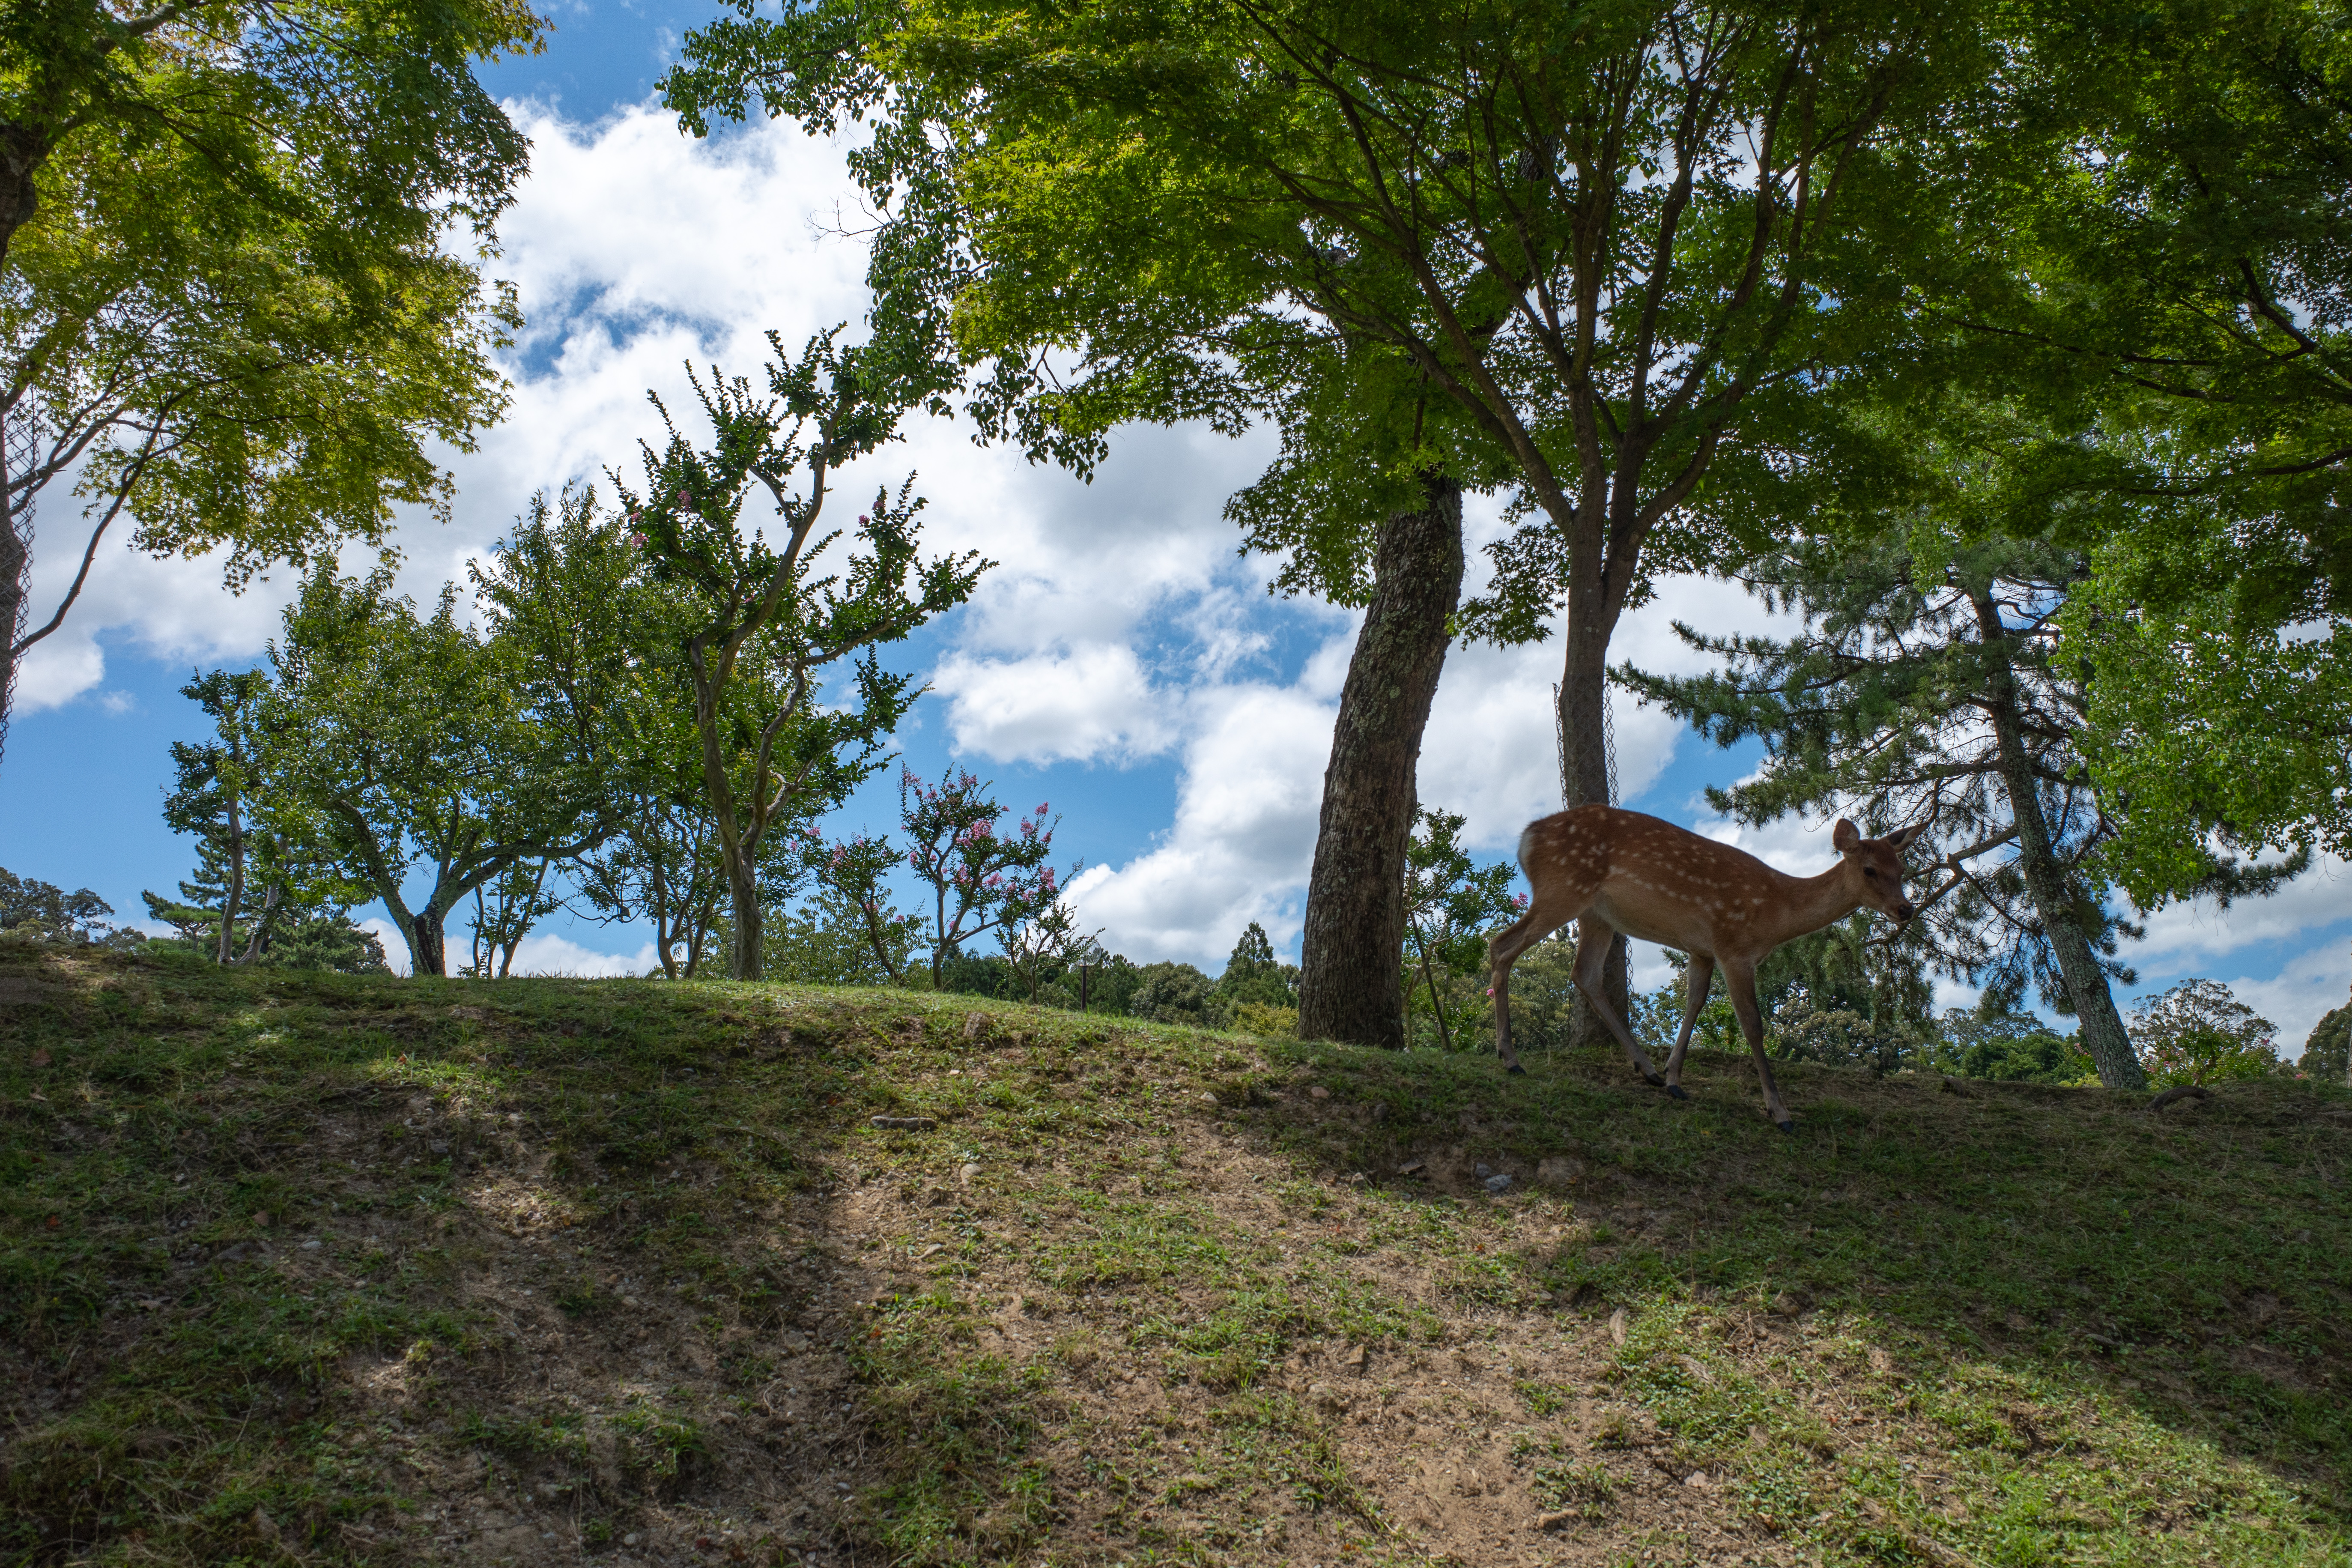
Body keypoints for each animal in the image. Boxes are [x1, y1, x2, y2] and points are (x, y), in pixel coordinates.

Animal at [1486, 809, 1928, 1128]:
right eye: (1870, 870)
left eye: (1903, 869)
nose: (1906, 909)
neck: (1776, 914)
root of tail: (1526, 839)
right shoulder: (1733, 946)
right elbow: (1753, 1025)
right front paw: (1779, 1111)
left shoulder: (1701, 950)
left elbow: (1694, 1004)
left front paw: (1675, 1080)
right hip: (1563, 888)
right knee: (1500, 945)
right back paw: (1510, 1057)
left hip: (1597, 913)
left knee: (1584, 974)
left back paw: (1648, 1069)